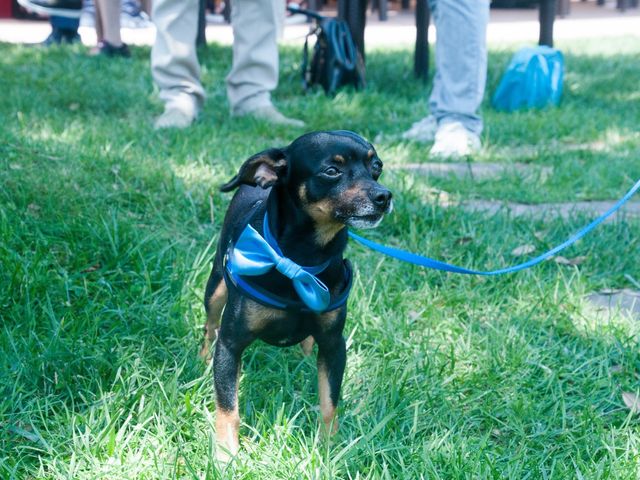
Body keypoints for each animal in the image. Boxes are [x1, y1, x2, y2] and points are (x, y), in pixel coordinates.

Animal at [201, 129, 390, 460]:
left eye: (376, 167)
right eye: (332, 170)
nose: (384, 197)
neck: (302, 258)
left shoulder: (334, 345)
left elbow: (329, 404)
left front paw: (328, 450)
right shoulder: (230, 345)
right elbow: (228, 408)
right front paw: (226, 455)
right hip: (215, 288)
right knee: (209, 326)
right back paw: (199, 361)